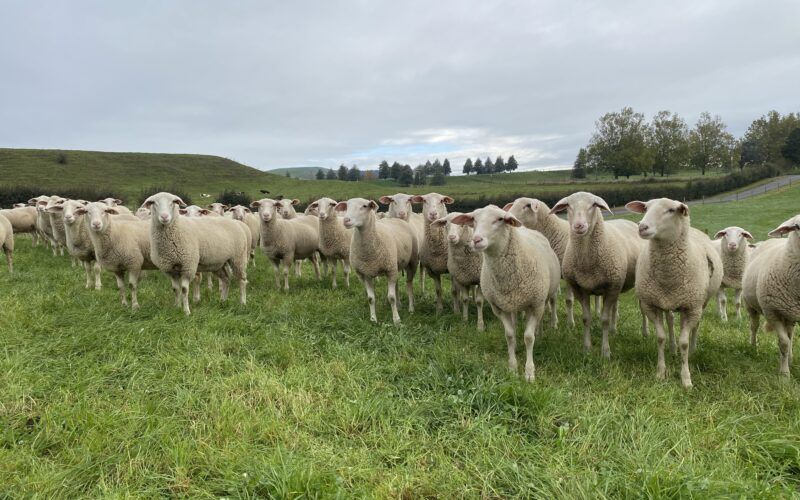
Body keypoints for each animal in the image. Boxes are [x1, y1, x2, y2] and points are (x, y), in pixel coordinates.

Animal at [451, 205, 560, 381]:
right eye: (473, 219)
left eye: (500, 219)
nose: (476, 240)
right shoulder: (499, 308)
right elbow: (509, 335)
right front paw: (513, 367)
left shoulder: (536, 304)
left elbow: (528, 337)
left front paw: (529, 372)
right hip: (513, 302)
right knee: (515, 324)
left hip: (544, 297)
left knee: (543, 316)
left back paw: (540, 333)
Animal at [550, 191, 646, 358]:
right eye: (568, 206)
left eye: (593, 205)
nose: (579, 226)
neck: (587, 263)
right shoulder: (580, 289)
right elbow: (586, 319)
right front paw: (587, 349)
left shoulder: (611, 287)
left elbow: (604, 320)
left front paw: (605, 351)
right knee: (615, 307)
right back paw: (614, 330)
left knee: (642, 310)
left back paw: (645, 333)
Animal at [626, 198, 723, 388]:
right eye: (646, 208)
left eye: (671, 210)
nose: (642, 227)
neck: (668, 277)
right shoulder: (651, 305)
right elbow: (660, 337)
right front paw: (660, 373)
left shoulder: (691, 307)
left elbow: (684, 342)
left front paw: (686, 379)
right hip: (667, 301)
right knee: (670, 320)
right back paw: (672, 348)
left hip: (701, 302)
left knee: (696, 326)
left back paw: (692, 350)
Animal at [742, 214, 800, 374]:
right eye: (797, 226)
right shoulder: (771, 312)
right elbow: (784, 343)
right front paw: (784, 373)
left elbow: (788, 340)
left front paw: (786, 364)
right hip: (751, 306)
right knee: (754, 326)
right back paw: (753, 347)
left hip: (789, 312)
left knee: (791, 334)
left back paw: (790, 358)